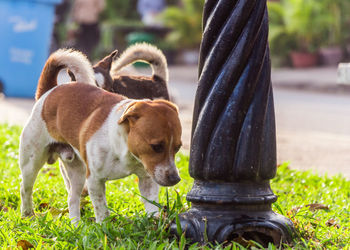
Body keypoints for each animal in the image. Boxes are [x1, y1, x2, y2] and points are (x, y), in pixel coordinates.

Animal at [19, 47, 182, 224]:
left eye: (178, 148)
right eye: (156, 147)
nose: (175, 179)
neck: (122, 146)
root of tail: (49, 91)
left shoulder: (147, 178)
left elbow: (151, 205)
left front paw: (154, 223)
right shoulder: (94, 180)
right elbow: (102, 210)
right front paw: (104, 226)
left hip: (77, 170)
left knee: (72, 198)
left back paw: (76, 225)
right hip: (32, 162)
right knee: (25, 189)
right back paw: (28, 215)